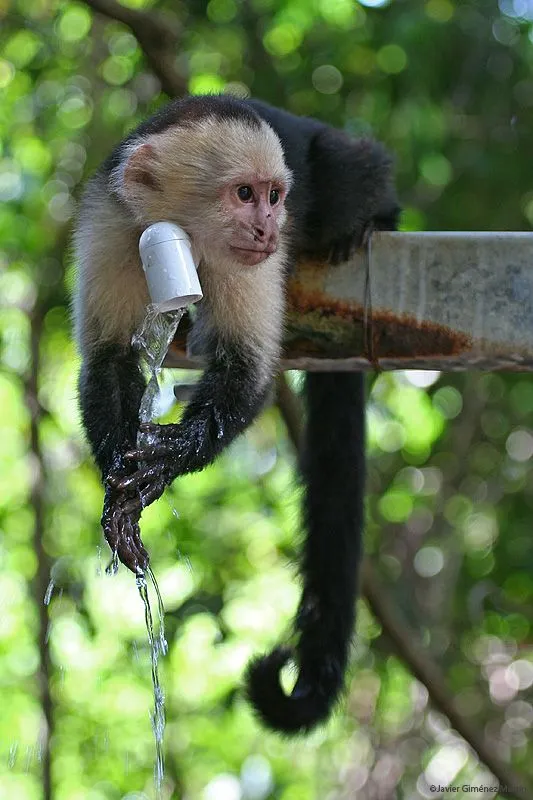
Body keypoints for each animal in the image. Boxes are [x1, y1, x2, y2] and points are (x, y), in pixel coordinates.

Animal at [71, 92, 400, 732]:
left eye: (273, 195)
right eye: (244, 194)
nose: (269, 225)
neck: (189, 234)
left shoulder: (250, 259)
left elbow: (248, 371)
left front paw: (162, 463)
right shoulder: (112, 224)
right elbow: (107, 359)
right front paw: (117, 482)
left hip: (335, 184)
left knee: (349, 169)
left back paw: (371, 218)